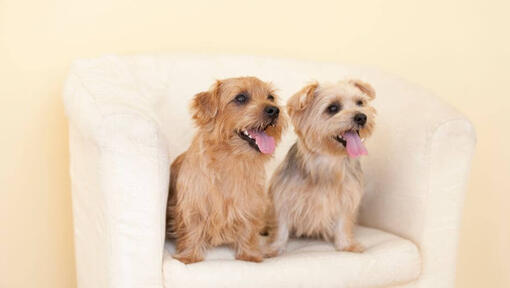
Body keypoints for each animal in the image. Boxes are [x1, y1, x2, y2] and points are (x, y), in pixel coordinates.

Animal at [167, 76, 286, 264]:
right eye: (241, 98)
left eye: (271, 97)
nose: (274, 110)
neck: (232, 160)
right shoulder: (194, 203)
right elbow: (192, 228)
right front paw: (188, 256)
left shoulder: (250, 203)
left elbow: (249, 229)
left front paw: (249, 255)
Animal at [266, 78, 374, 254]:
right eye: (333, 108)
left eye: (360, 103)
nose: (361, 117)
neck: (328, 159)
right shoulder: (284, 197)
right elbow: (281, 226)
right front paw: (274, 248)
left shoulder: (346, 198)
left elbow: (343, 223)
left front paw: (346, 245)